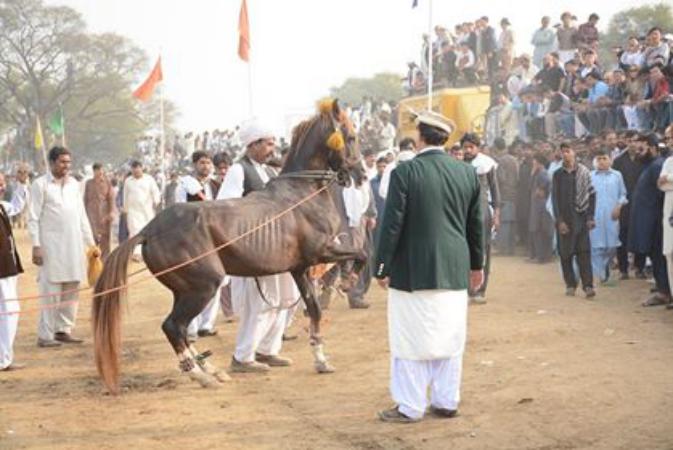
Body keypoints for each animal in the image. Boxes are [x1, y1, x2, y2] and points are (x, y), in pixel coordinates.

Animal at [92, 99, 364, 394]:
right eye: (351, 137)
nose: (361, 175)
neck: (301, 192)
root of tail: (149, 230)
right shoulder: (321, 251)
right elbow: (361, 253)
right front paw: (349, 281)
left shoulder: (299, 268)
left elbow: (314, 309)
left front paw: (321, 359)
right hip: (204, 285)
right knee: (173, 326)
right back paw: (202, 375)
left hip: (183, 289)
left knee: (180, 327)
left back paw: (209, 367)